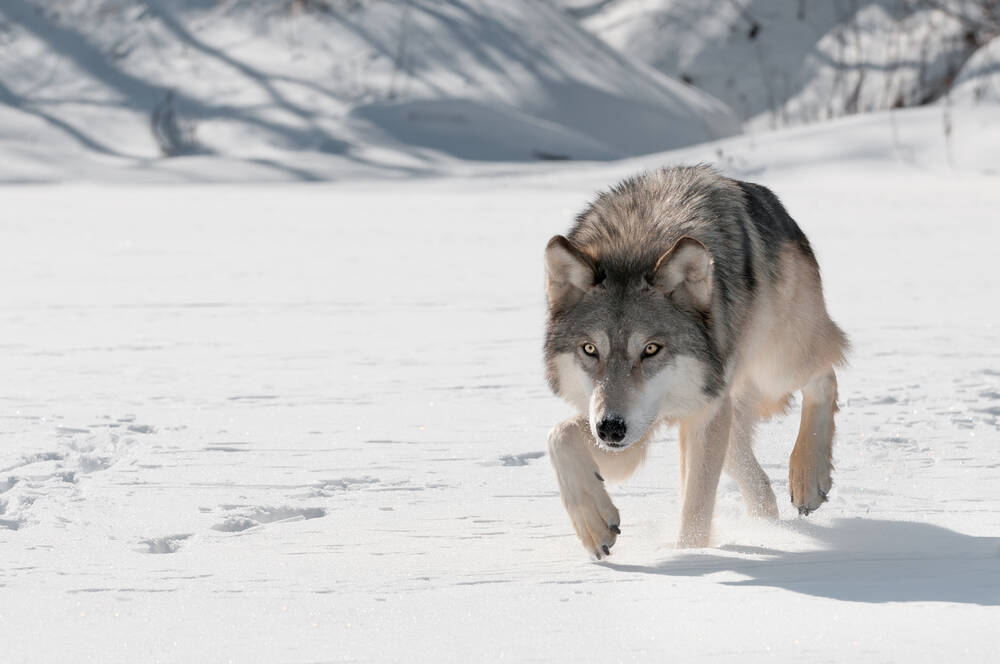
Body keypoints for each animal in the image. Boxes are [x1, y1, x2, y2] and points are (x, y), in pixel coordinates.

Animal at [544, 165, 847, 557]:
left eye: (651, 349)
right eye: (590, 349)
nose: (610, 428)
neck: (636, 243)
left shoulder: (698, 412)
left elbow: (697, 504)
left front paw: (691, 556)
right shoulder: (632, 430)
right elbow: (560, 436)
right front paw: (594, 526)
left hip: (775, 366)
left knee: (825, 374)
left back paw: (808, 479)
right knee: (754, 478)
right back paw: (768, 523)